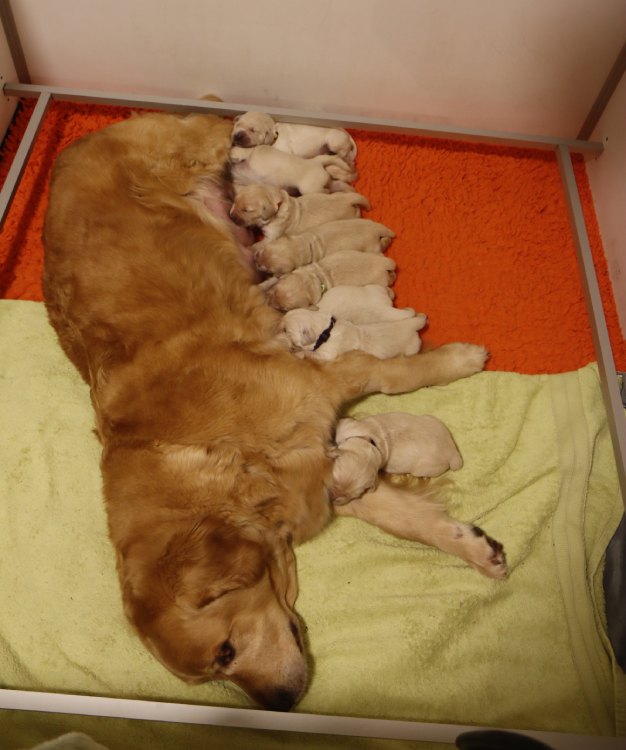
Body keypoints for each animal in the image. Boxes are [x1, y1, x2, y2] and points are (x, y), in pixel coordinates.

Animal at [253, 218, 395, 275]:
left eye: (266, 268)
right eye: (263, 250)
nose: (255, 260)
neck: (302, 245)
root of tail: (376, 228)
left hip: (372, 248)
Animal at [262, 250, 397, 311]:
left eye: (284, 309)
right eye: (275, 290)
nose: (267, 302)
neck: (313, 279)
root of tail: (384, 263)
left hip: (381, 280)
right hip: (373, 254)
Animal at [277, 308, 427, 361]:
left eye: (285, 330)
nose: (277, 327)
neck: (326, 331)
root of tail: (411, 324)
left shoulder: (328, 354)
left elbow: (310, 353)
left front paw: (298, 353)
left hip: (411, 348)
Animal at [330, 413, 464, 504]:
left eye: (353, 496)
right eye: (335, 481)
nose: (334, 497)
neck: (370, 442)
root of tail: (453, 451)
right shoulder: (348, 427)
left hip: (424, 468)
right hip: (432, 419)